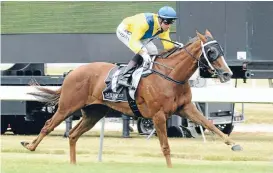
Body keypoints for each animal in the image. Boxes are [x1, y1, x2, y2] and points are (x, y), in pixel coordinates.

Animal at [21, 30, 240, 168]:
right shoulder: (158, 115)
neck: (170, 76)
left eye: (220, 50)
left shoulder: (186, 108)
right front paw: (170, 167)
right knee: (48, 125)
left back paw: (73, 164)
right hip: (67, 106)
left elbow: (209, 124)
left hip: (94, 113)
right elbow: (165, 146)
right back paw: (30, 146)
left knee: (73, 135)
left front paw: (234, 144)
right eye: (211, 52)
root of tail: (72, 72)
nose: (228, 73)